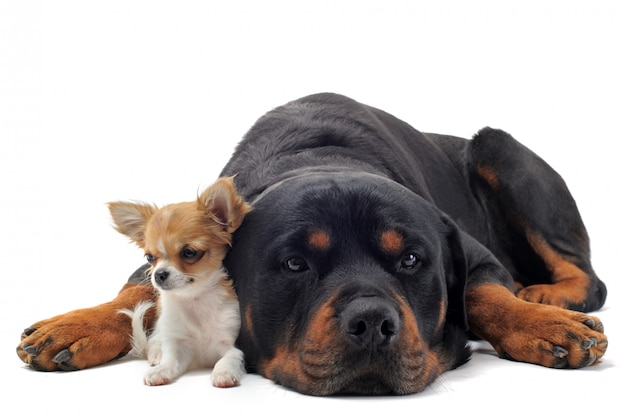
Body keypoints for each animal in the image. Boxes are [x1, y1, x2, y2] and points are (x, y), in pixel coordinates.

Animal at [111, 176, 250, 386]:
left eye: (189, 253)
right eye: (149, 257)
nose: (159, 274)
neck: (194, 299)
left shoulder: (230, 343)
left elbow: (230, 357)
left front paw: (223, 373)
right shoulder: (179, 344)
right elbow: (170, 360)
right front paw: (160, 370)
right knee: (155, 341)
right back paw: (156, 355)